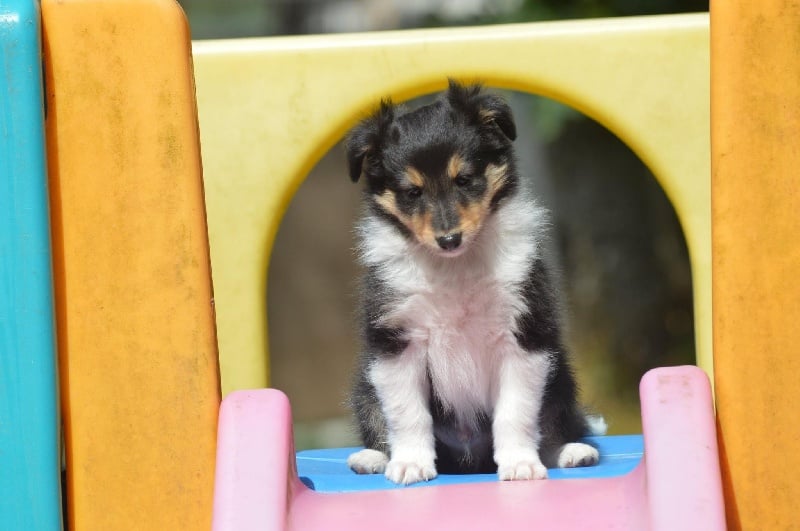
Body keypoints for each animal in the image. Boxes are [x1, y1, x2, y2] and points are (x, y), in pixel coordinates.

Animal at [344, 80, 600, 486]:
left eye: (464, 180)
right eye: (412, 192)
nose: (449, 239)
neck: (454, 267)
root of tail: (468, 460)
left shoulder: (523, 335)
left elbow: (516, 411)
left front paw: (520, 465)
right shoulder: (396, 341)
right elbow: (407, 412)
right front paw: (411, 464)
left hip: (560, 377)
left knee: (553, 422)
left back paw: (571, 452)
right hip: (366, 386)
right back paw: (372, 458)